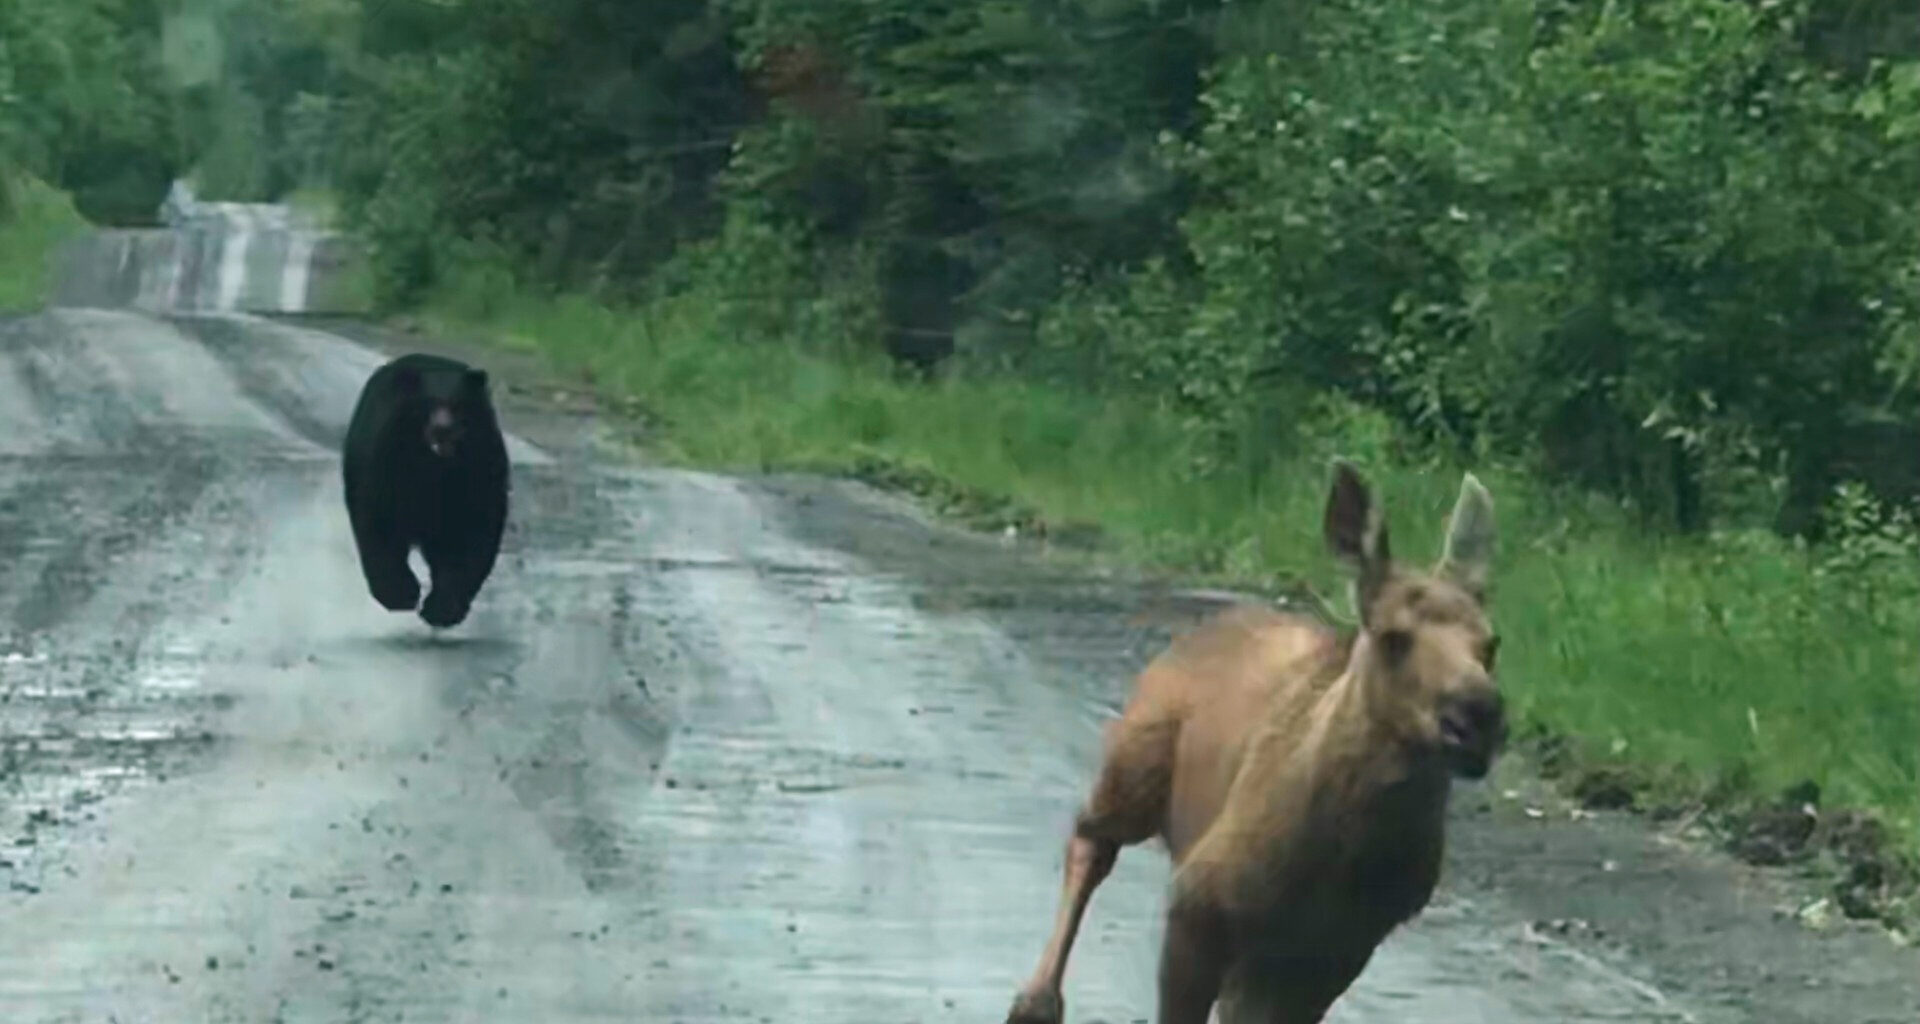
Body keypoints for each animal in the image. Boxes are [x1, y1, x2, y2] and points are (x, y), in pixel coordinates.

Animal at [342, 352, 510, 630]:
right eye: (427, 404)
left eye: (457, 404)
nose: (443, 428)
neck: (435, 467)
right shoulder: (388, 465)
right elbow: (380, 522)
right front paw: (398, 594)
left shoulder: (480, 471)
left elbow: (473, 534)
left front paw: (442, 609)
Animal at [1004, 459, 1505, 1024]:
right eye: (1393, 637)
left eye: (1492, 643)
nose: (1477, 716)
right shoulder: (1197, 901)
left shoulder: (1339, 948)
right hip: (1135, 762)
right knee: (1093, 838)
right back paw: (1035, 1001)